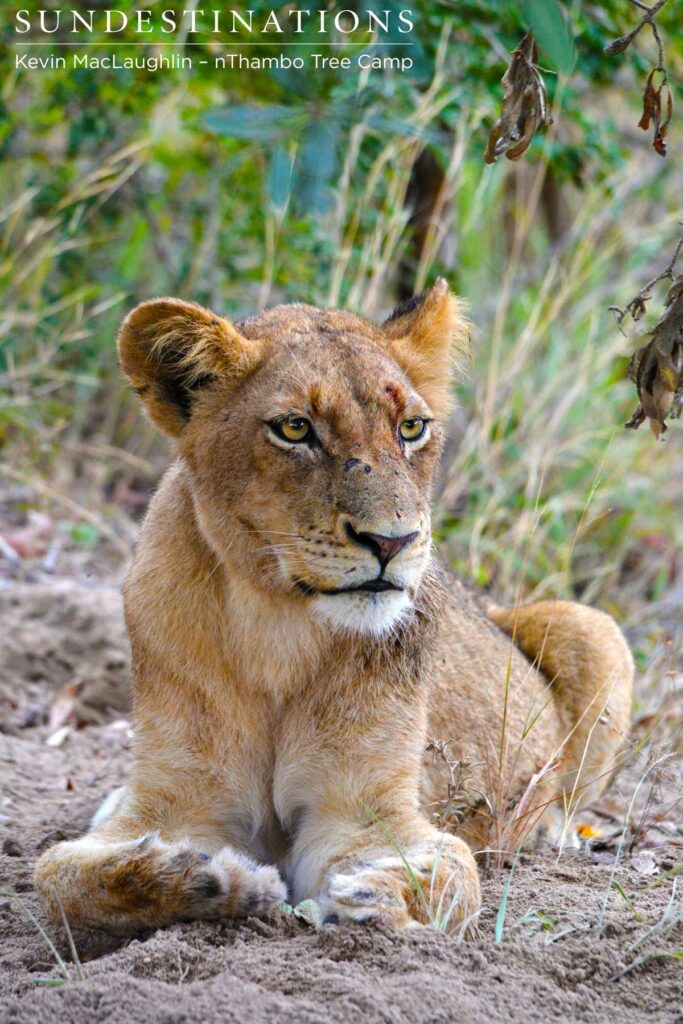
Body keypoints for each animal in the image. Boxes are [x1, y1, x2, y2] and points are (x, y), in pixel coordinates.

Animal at [35, 280, 632, 934]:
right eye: (295, 429)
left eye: (411, 427)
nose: (392, 541)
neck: (274, 623)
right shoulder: (181, 800)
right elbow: (59, 877)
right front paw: (211, 878)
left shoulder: (358, 809)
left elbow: (453, 874)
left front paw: (379, 895)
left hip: (593, 628)